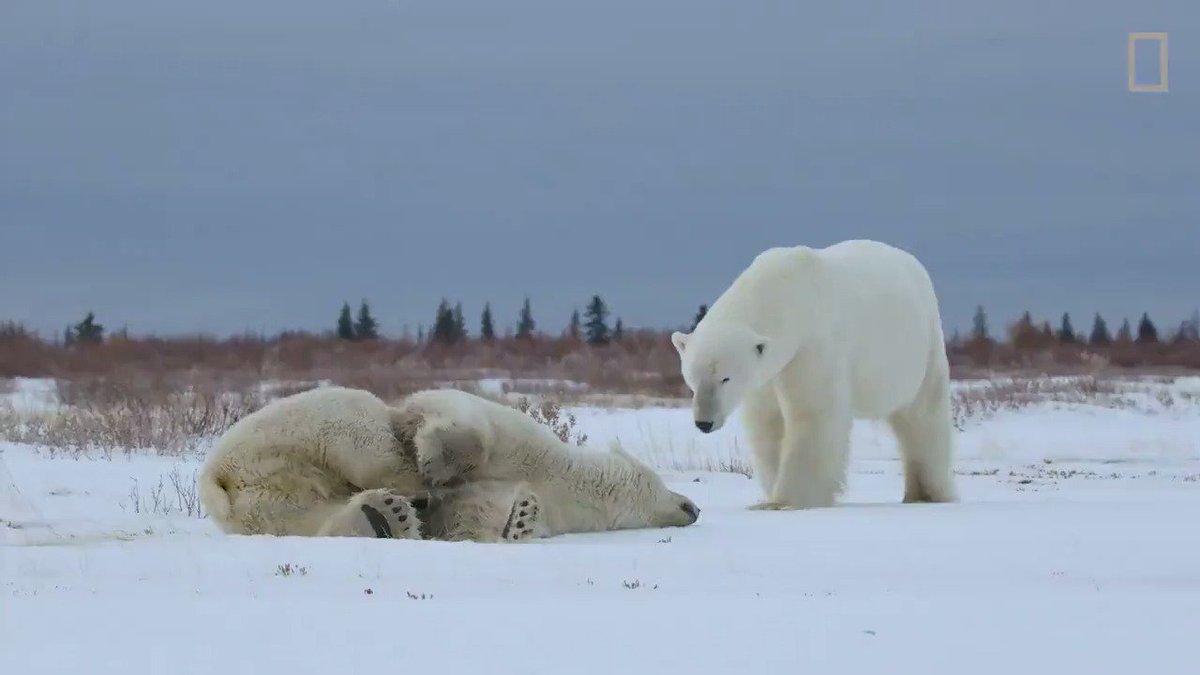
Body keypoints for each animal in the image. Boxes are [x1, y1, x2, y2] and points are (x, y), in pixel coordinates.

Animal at [199, 386, 699, 542]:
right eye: (663, 484)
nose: (694, 507)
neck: (557, 475)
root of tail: (218, 477)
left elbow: (469, 515)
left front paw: (521, 519)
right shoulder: (516, 438)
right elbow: (461, 420)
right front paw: (436, 467)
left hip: (267, 502)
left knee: (312, 518)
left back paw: (387, 516)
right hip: (299, 428)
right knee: (365, 431)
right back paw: (407, 487)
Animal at [671, 239, 957, 510]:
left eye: (725, 379)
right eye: (692, 379)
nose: (704, 423)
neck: (786, 293)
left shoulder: (812, 344)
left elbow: (813, 413)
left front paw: (786, 501)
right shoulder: (768, 372)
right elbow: (767, 421)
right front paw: (773, 489)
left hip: (922, 347)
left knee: (923, 414)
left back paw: (928, 493)